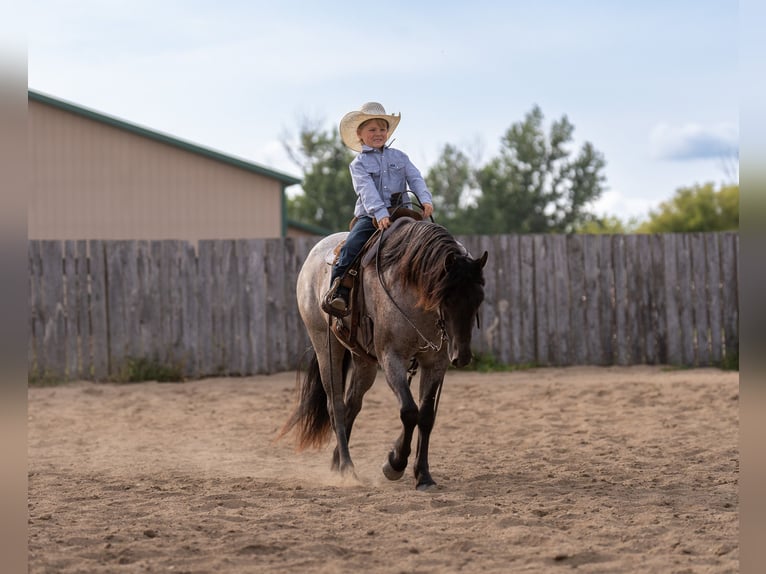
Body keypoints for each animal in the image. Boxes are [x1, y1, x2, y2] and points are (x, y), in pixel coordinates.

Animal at [279, 218, 488, 490]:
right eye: (447, 297)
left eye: (479, 299)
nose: (461, 356)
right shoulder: (392, 358)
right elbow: (409, 412)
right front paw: (394, 464)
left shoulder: (436, 363)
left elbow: (426, 416)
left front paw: (423, 475)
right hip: (325, 346)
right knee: (336, 406)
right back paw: (346, 468)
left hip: (363, 360)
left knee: (352, 404)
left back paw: (337, 461)